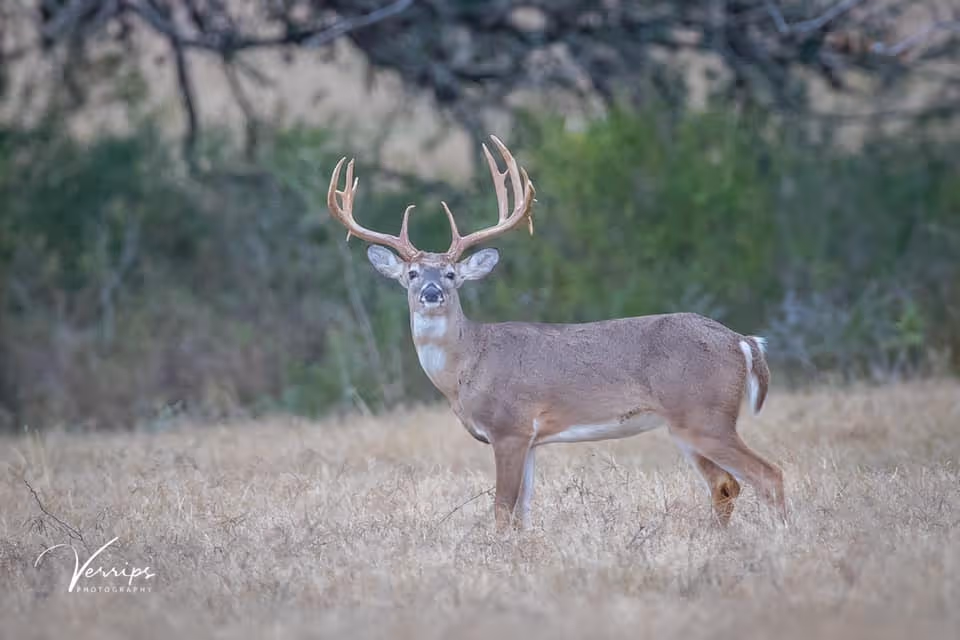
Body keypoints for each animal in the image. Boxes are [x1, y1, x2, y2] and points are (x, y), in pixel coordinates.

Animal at [325, 136, 785, 530]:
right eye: (412, 274)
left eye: (452, 274)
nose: (432, 292)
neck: (467, 366)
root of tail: (742, 341)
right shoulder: (532, 440)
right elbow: (523, 510)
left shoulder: (509, 427)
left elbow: (502, 507)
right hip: (686, 424)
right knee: (725, 485)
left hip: (704, 415)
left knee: (768, 474)